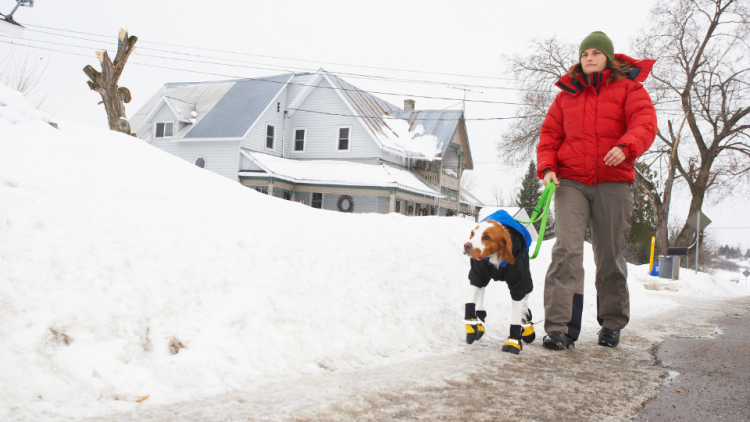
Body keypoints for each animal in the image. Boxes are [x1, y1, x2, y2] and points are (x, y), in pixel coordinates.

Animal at [462, 210, 536, 352]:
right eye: (472, 233)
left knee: (525, 302)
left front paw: (513, 342)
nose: (466, 245)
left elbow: (516, 316)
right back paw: (480, 321)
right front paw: (471, 326)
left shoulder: (518, 286)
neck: (495, 258)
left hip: (527, 281)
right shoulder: (477, 275)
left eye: (487, 237)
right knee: (482, 294)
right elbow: (470, 302)